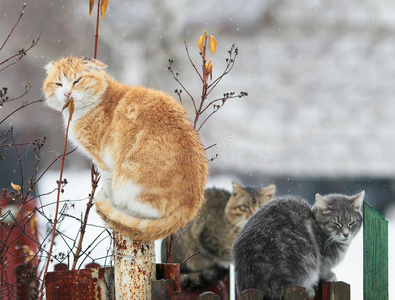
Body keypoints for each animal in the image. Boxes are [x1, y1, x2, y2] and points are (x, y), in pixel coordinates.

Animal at [43, 56, 209, 241]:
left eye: (77, 81)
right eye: (58, 84)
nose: (67, 93)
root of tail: (191, 206)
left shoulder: (104, 162)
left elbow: (108, 185)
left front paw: (111, 202)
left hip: (130, 179)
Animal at [232, 191, 366, 298]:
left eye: (352, 223)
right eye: (336, 224)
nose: (346, 234)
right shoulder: (323, 259)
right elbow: (323, 269)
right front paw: (329, 275)